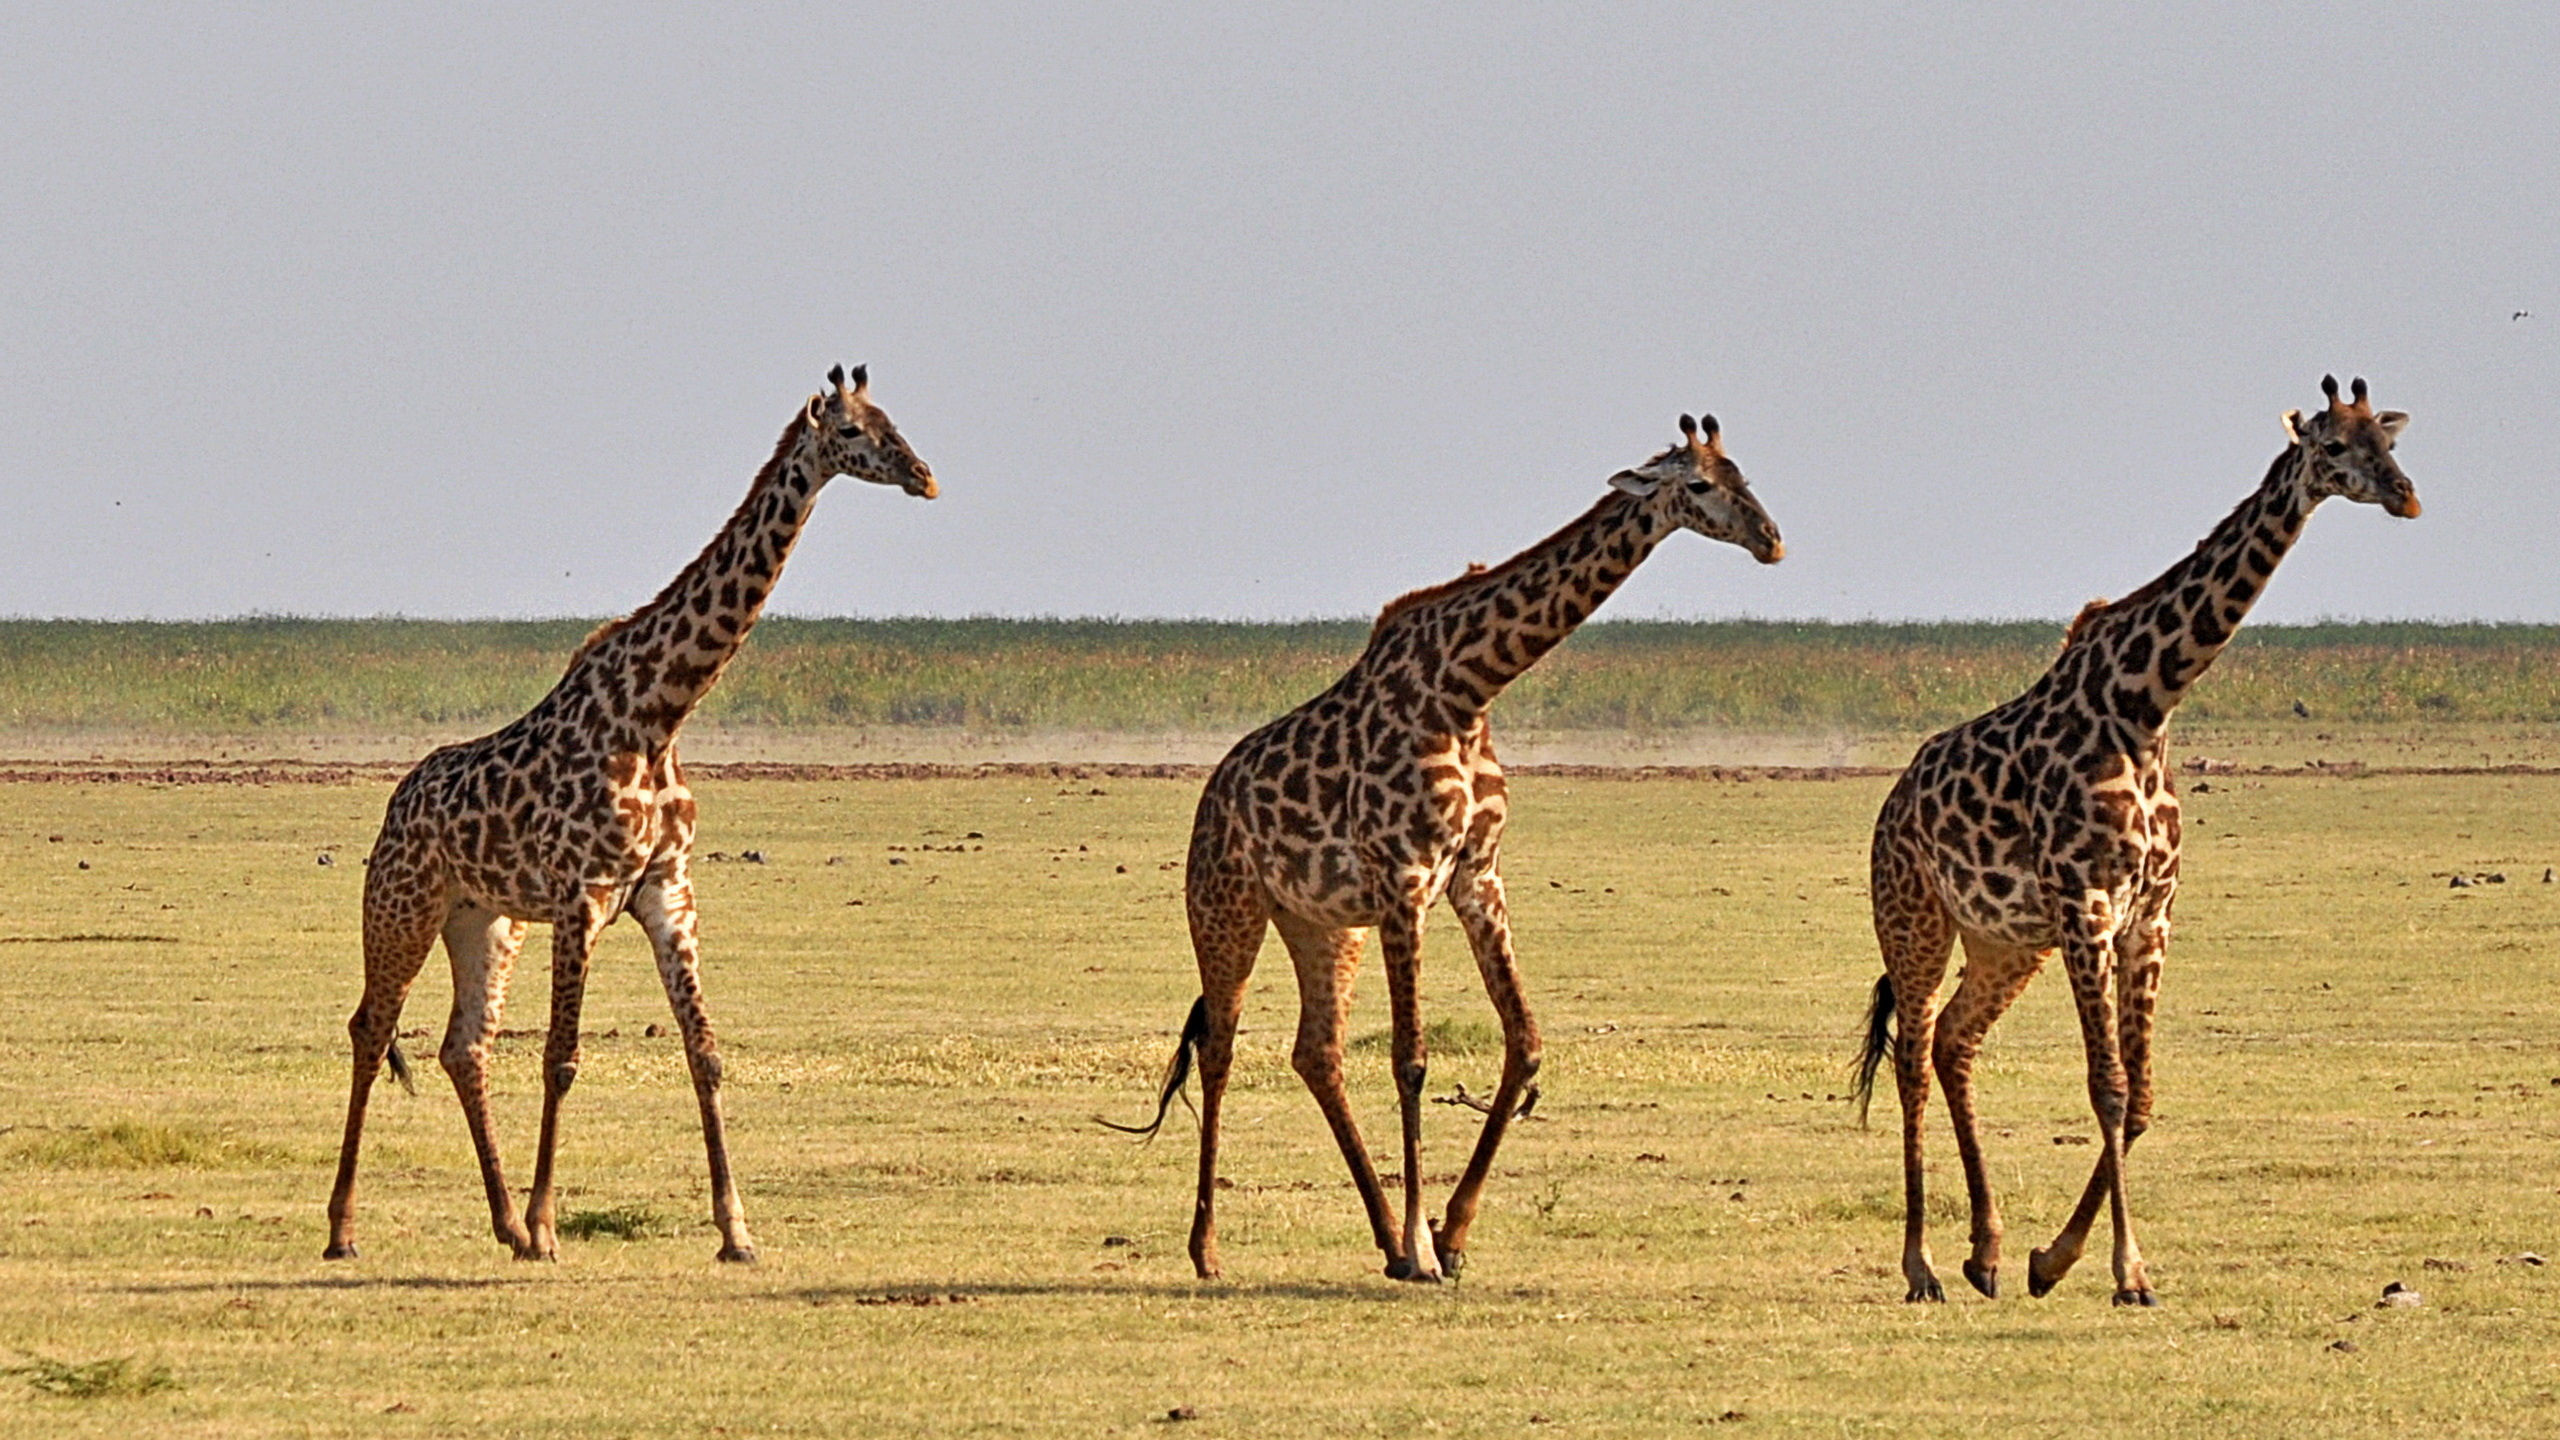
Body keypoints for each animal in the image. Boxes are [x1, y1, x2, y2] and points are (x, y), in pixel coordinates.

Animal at [323, 364, 935, 1263]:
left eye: (897, 421)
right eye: (856, 433)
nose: (925, 477)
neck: (659, 712)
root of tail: (397, 804)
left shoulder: (666, 890)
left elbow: (705, 1053)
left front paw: (736, 1232)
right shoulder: (584, 895)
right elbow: (562, 1058)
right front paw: (550, 1225)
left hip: (485, 920)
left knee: (464, 1046)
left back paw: (504, 1225)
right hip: (402, 905)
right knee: (372, 1028)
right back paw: (346, 1230)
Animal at [1110, 413, 1785, 1282]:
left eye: (1745, 475)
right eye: (1699, 484)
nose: (1771, 540)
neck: (1467, 690)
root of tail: (1212, 795)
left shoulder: (1476, 877)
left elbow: (1524, 1042)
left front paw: (1449, 1234)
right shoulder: (1407, 878)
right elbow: (1411, 1059)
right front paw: (1428, 1245)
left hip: (1324, 924)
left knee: (1316, 1052)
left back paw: (1384, 1238)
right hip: (1226, 905)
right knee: (1221, 1050)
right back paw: (1210, 1248)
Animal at [1852, 376, 2420, 1306]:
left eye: (2391, 441)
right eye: (2334, 446)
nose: (2407, 496)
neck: (2146, 705)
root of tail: (1893, 803)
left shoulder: (2149, 914)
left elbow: (2144, 1095)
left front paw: (2053, 1258)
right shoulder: (2087, 904)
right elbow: (2109, 1087)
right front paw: (2126, 1272)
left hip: (2007, 941)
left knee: (1953, 1041)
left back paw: (1986, 1253)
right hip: (1915, 920)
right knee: (1912, 1059)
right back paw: (1921, 1265)